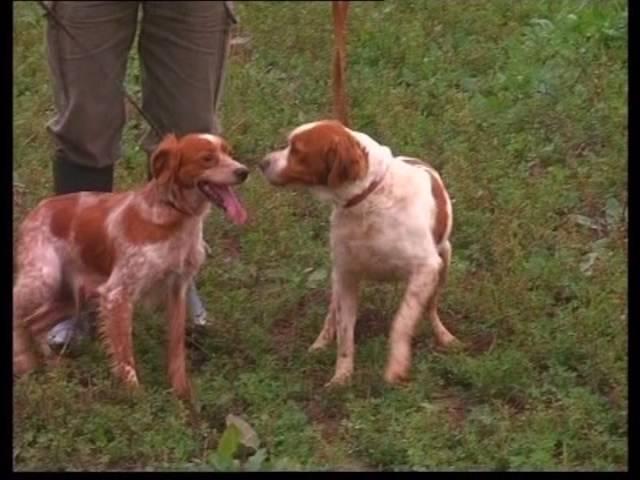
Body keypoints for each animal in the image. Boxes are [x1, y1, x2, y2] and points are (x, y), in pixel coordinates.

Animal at [13, 132, 248, 402]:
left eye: (229, 153)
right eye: (207, 159)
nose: (244, 171)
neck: (173, 215)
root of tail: (35, 211)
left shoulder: (177, 289)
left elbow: (176, 349)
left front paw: (183, 395)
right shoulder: (117, 294)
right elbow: (125, 356)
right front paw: (136, 398)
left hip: (72, 296)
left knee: (34, 323)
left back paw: (53, 368)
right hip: (43, 279)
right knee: (19, 315)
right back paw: (24, 362)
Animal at [258, 120, 460, 386]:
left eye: (297, 150)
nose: (262, 163)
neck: (369, 199)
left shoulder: (425, 268)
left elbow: (402, 321)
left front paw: (396, 365)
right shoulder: (346, 274)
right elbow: (345, 333)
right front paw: (341, 377)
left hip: (444, 262)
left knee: (431, 308)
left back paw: (444, 335)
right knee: (331, 314)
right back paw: (320, 343)